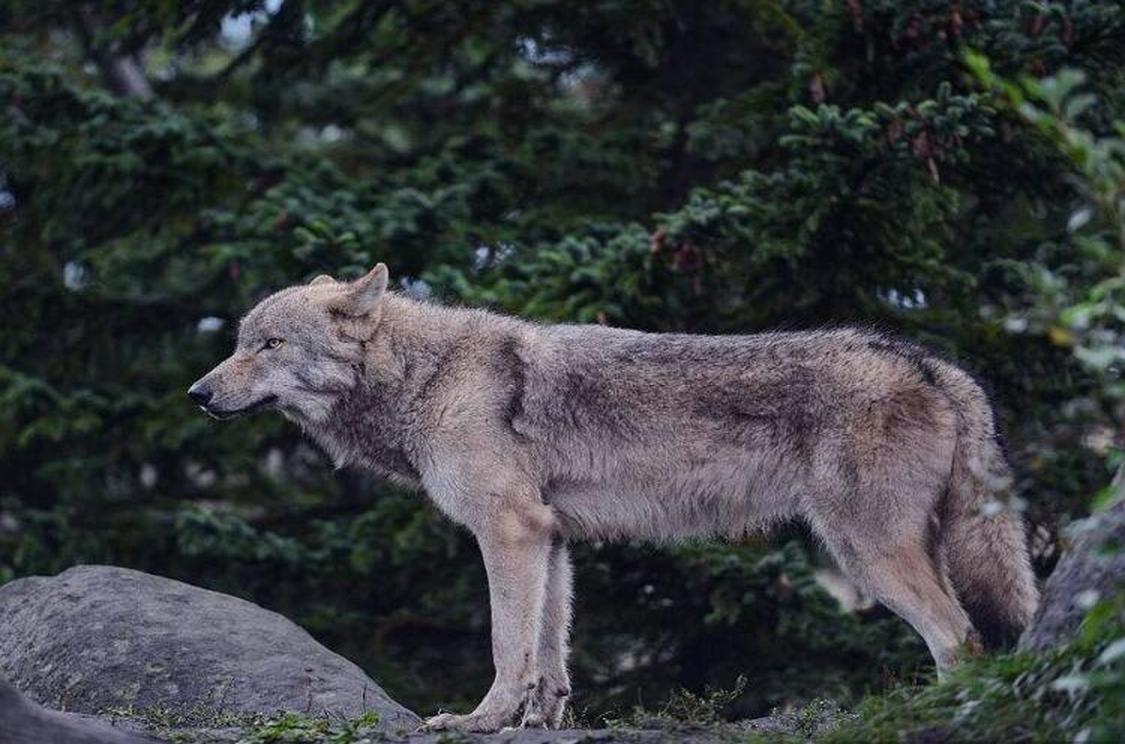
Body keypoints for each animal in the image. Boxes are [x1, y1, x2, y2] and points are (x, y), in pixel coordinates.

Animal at [189, 262, 1039, 729]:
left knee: (960, 640)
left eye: (268, 345)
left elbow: (506, 645)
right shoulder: (550, 538)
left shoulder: (508, 531)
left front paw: (477, 720)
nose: (198, 394)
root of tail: (926, 360)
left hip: (867, 557)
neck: (427, 379)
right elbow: (549, 654)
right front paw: (532, 724)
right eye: (236, 344)